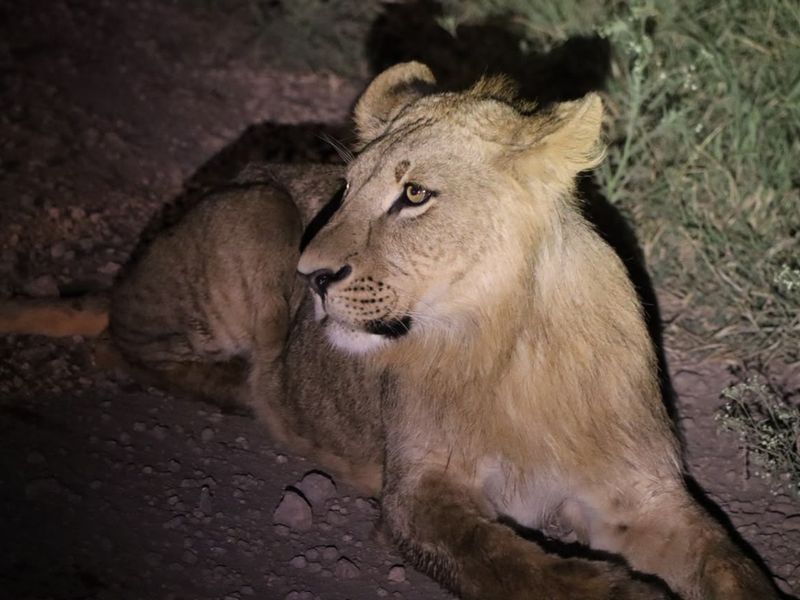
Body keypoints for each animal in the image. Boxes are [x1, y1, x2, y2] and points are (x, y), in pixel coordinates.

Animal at [1, 62, 782, 599]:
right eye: (345, 190)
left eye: (414, 195)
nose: (312, 277)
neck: (509, 345)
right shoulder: (420, 494)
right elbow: (507, 562)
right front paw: (617, 591)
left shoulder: (640, 493)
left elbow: (728, 563)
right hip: (253, 211)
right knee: (123, 342)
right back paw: (248, 392)